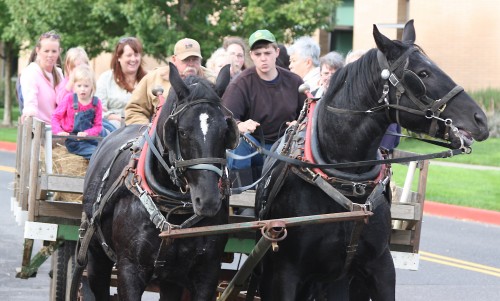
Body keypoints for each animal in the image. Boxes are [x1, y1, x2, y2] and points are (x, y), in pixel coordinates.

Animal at [79, 62, 238, 298]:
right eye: (182, 131)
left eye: (226, 131)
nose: (208, 200)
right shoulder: (129, 269)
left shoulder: (207, 271)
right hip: (96, 259)